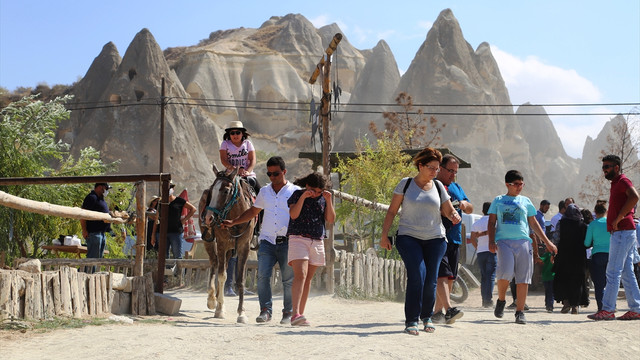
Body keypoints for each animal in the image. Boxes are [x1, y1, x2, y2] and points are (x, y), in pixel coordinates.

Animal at [198, 164, 255, 324]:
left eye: (226, 190)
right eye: (212, 190)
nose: (208, 217)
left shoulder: (244, 247)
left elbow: (240, 279)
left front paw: (241, 313)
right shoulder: (222, 244)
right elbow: (222, 275)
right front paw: (219, 310)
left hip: (230, 250)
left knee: (221, 264)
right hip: (209, 241)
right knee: (214, 263)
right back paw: (212, 299)